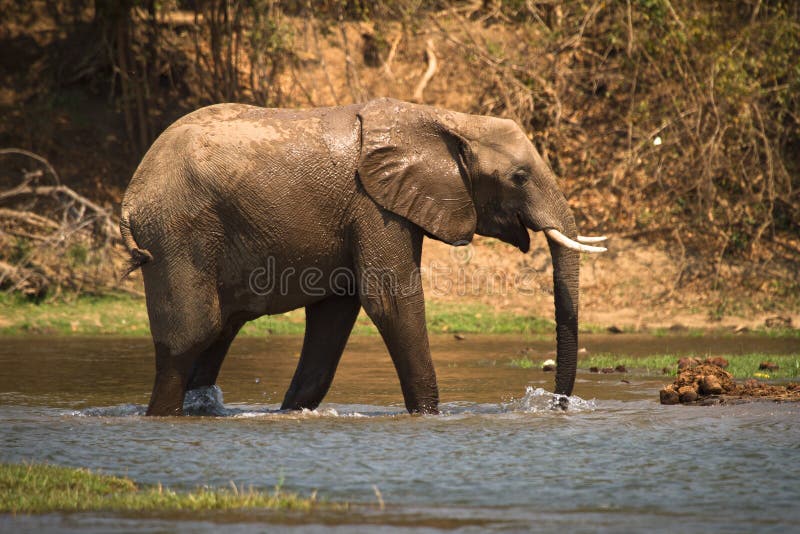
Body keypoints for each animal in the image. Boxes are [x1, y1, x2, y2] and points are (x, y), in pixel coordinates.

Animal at [120, 97, 606, 416]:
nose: (556, 406)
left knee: (219, 333)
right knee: (191, 336)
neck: (448, 117)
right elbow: (390, 303)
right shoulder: (374, 206)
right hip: (178, 233)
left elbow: (335, 315)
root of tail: (131, 193)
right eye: (519, 177)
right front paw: (429, 417)